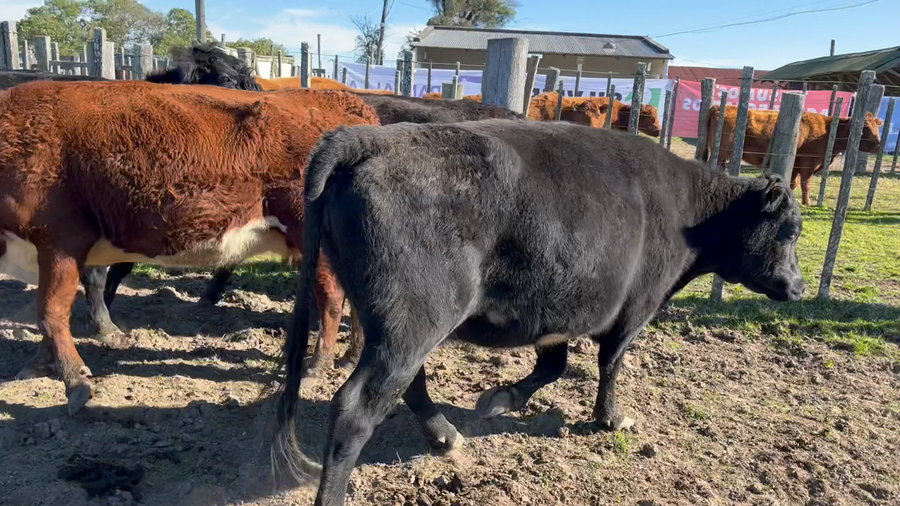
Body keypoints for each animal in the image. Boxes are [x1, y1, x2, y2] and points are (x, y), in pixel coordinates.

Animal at [0, 80, 380, 415]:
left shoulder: (60, 240)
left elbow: (50, 314)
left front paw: (75, 381)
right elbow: (48, 315)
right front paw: (39, 365)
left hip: (312, 238)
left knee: (331, 299)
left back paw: (317, 367)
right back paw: (351, 355)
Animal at [274, 119, 805, 505]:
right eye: (789, 231)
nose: (799, 287)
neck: (688, 213)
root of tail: (367, 137)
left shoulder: (560, 313)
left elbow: (555, 365)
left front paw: (501, 398)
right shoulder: (634, 308)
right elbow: (609, 364)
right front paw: (611, 418)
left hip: (402, 324)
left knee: (409, 385)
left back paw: (446, 436)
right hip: (413, 322)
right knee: (357, 408)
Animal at [703, 104, 884, 205]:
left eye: (876, 126)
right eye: (864, 128)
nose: (878, 144)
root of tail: (720, 107)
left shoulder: (797, 166)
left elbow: (793, 184)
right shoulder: (808, 164)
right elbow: (806, 185)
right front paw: (807, 203)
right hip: (721, 152)